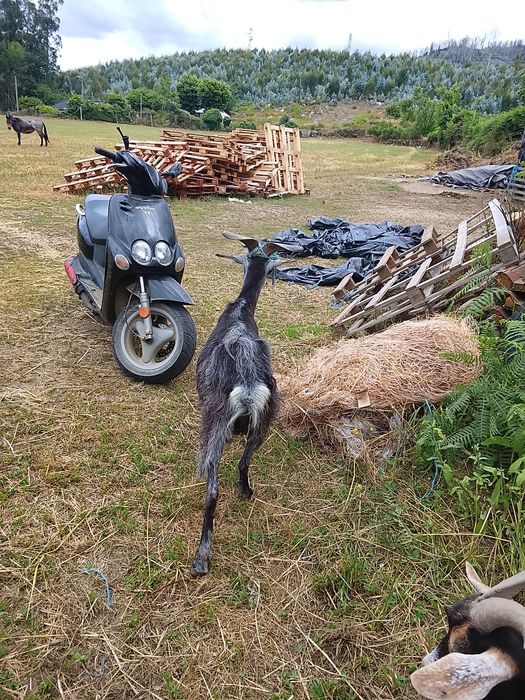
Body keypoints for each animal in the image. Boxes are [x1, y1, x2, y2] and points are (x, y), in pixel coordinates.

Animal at [190, 231, 301, 576]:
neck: (239, 311)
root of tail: (249, 381)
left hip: (216, 424)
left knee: (213, 488)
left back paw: (202, 556)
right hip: (265, 419)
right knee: (244, 461)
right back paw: (246, 492)